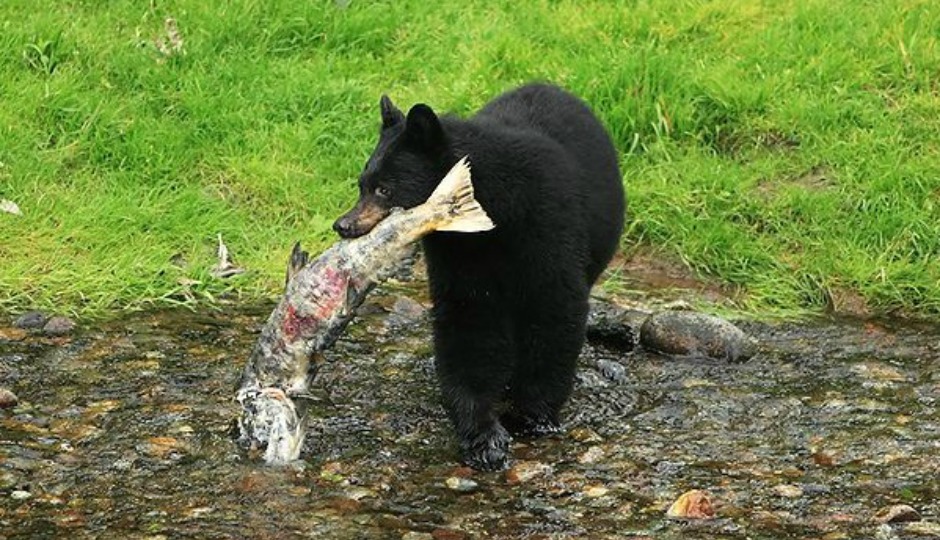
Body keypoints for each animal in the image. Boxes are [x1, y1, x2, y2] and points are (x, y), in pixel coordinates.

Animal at [333, 83, 625, 470]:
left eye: (384, 189)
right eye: (361, 185)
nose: (343, 225)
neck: (495, 215)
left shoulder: (547, 228)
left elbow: (555, 311)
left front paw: (534, 415)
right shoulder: (459, 255)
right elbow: (468, 324)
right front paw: (483, 436)